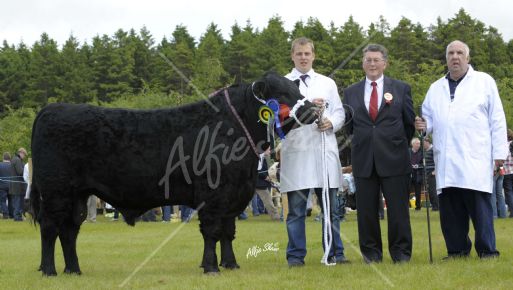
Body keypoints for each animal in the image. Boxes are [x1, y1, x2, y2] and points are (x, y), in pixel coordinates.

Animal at [31, 71, 316, 276]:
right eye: (282, 93)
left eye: (298, 90)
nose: (313, 109)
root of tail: (52, 108)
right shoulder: (213, 195)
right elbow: (212, 231)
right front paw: (211, 267)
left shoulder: (233, 195)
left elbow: (228, 231)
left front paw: (231, 264)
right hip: (56, 192)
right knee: (50, 228)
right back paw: (49, 271)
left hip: (76, 196)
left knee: (69, 229)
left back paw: (73, 269)